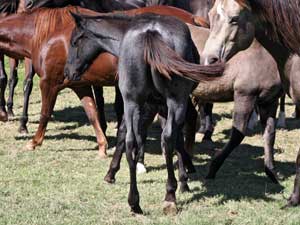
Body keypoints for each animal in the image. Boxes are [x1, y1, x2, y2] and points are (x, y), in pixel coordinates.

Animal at [0, 4, 209, 156]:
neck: (43, 34)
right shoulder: (80, 85)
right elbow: (92, 113)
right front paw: (102, 146)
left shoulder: (49, 83)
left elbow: (45, 113)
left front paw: (34, 141)